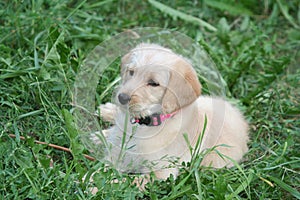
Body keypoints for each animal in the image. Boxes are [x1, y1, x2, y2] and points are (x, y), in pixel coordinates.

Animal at [96, 43, 248, 180]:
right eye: (131, 72)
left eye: (153, 83)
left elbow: (128, 182)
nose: (121, 98)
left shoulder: (161, 171)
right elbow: (99, 172)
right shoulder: (117, 153)